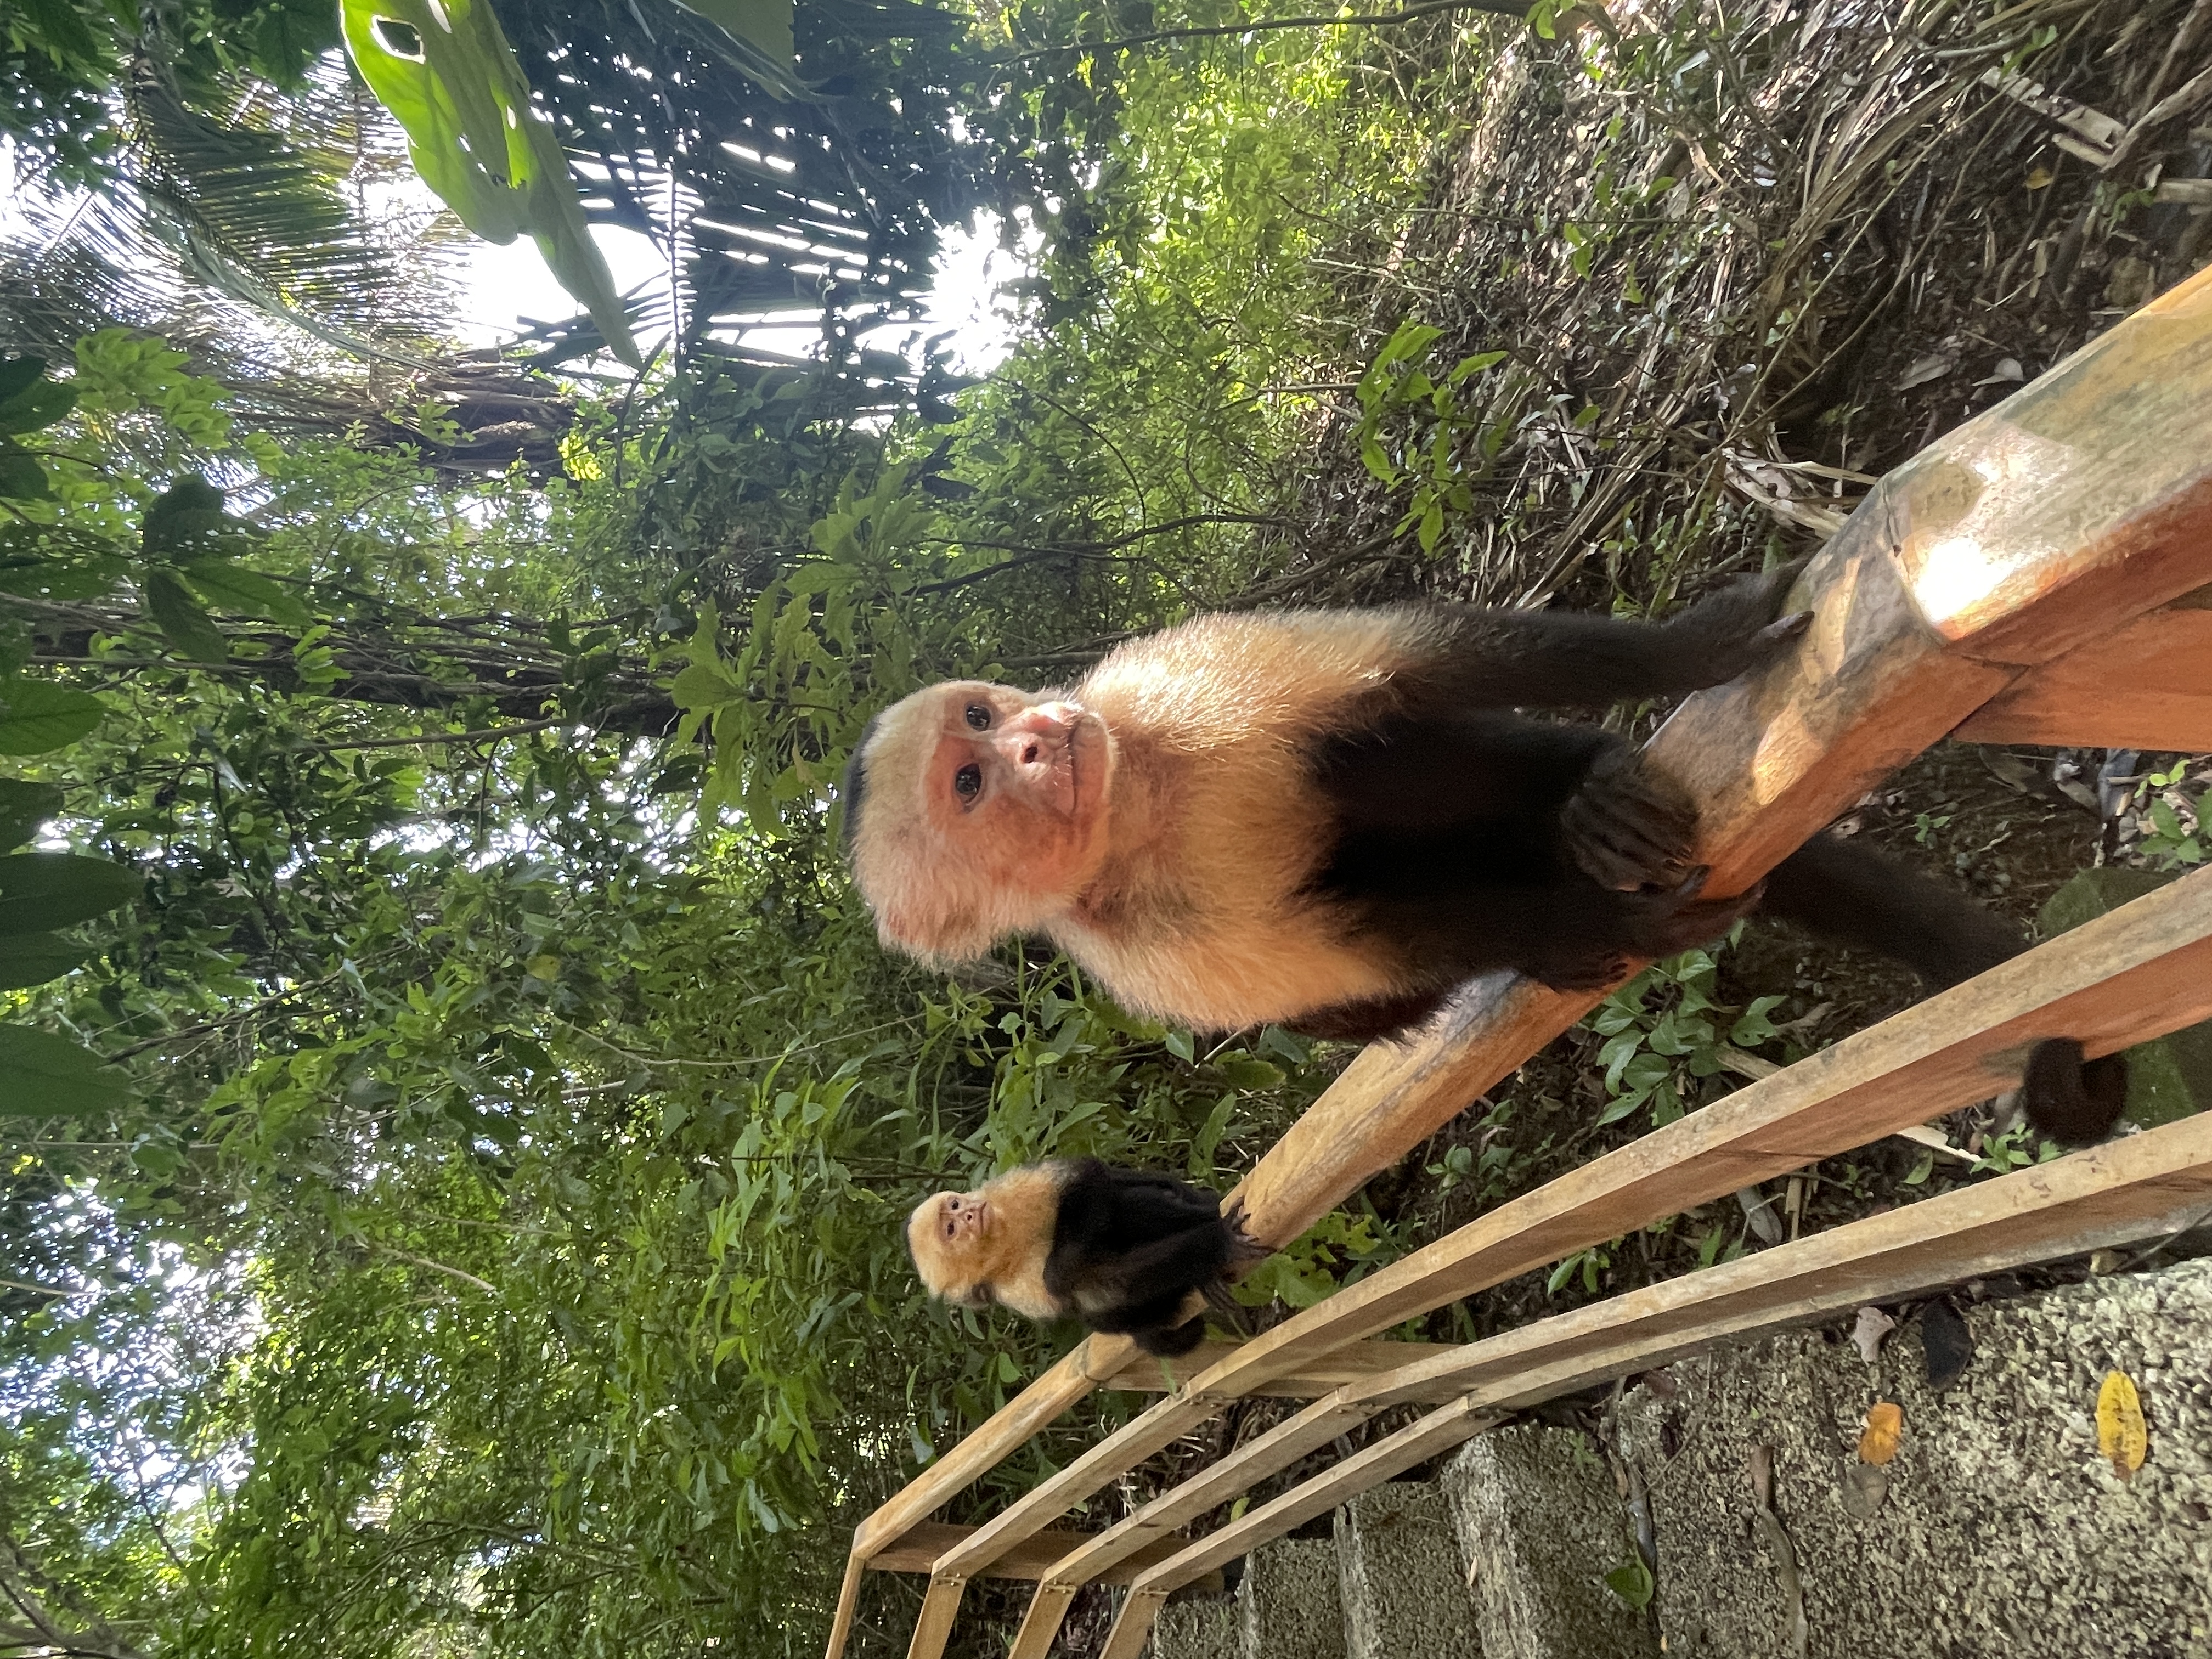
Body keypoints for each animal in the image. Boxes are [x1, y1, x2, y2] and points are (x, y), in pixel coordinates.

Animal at [844, 567, 2126, 1143]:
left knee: (1389, 752)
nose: (1034, 736)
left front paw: (1687, 643)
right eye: (968, 782)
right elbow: (1367, 982)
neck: (1139, 808)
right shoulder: (1134, 957)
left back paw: (1585, 801)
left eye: (981, 717)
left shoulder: (1145, 692)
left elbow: (1417, 669)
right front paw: (1587, 930)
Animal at [906, 1157, 1266, 1355]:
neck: (1007, 1242)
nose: (968, 1213)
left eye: (955, 1206)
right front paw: (1219, 1243)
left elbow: (1087, 1177)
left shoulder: (1002, 1195)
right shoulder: (1008, 1288)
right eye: (951, 1229)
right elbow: (1104, 1284)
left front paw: (1218, 1235)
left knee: (1126, 1201)